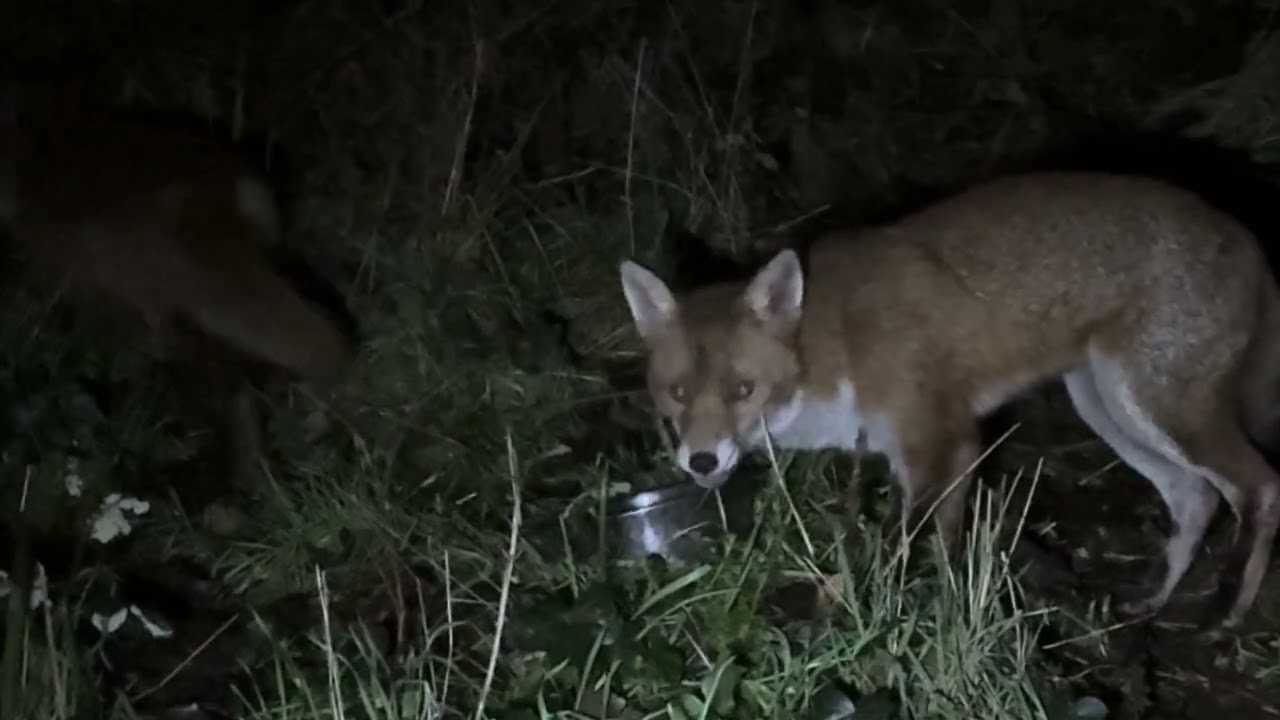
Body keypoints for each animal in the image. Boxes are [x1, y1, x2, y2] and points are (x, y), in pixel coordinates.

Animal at [619, 170, 1280, 630]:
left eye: (743, 390)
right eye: (678, 393)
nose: (702, 460)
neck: (839, 343)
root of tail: (1245, 234)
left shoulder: (939, 439)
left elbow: (901, 549)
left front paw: (864, 613)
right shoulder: (936, 452)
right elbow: (946, 546)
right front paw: (943, 609)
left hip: (1161, 408)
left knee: (1260, 486)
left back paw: (1227, 612)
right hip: (1109, 409)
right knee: (1195, 498)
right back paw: (1154, 602)